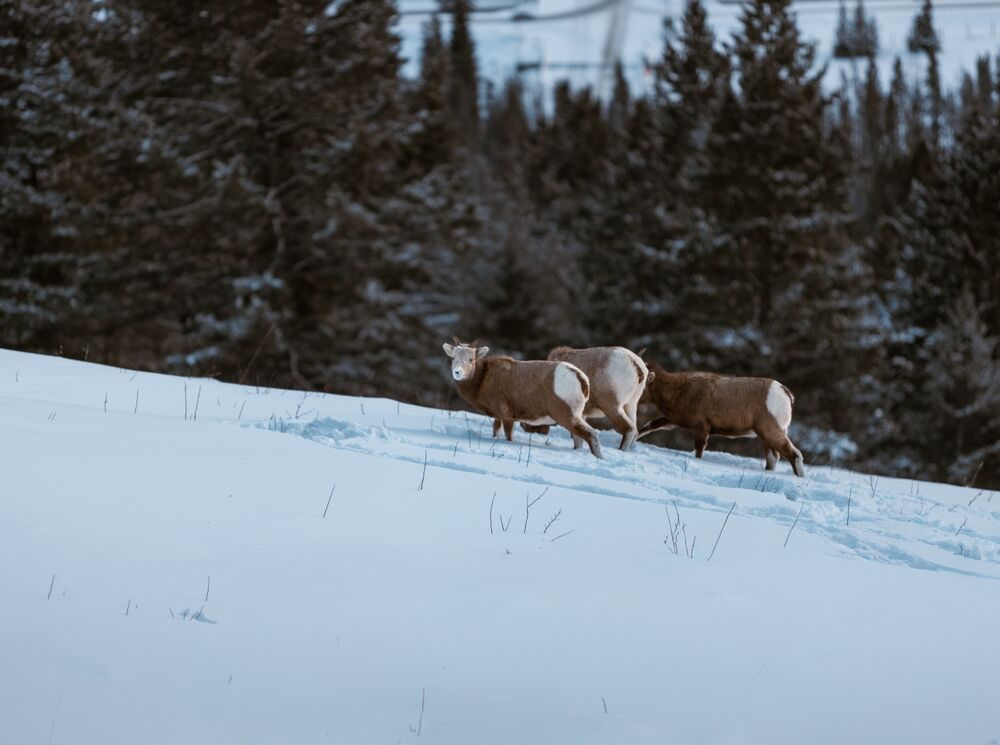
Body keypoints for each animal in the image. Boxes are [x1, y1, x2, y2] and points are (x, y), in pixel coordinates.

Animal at [443, 341, 603, 458]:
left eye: (471, 359)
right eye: (453, 358)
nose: (457, 372)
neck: (481, 382)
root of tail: (582, 380)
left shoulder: (507, 416)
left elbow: (509, 436)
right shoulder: (498, 417)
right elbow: (496, 431)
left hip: (567, 415)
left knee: (591, 434)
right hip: (577, 415)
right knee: (579, 439)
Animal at [517, 346, 651, 450]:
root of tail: (636, 366)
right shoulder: (582, 414)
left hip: (612, 407)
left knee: (630, 429)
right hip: (630, 406)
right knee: (635, 430)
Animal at [637, 362, 805, 476]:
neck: (679, 390)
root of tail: (785, 393)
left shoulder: (701, 429)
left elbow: (699, 450)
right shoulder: (672, 421)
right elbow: (651, 425)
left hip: (770, 432)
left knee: (794, 455)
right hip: (765, 436)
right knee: (773, 458)